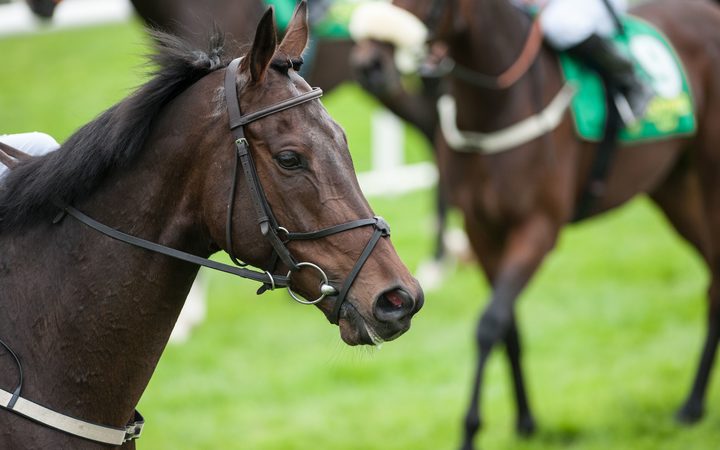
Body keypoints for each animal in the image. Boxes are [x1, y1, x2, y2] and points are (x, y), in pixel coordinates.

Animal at [358, 0, 720, 448]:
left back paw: (691, 404)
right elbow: (508, 328)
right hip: (675, 187)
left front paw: (470, 428)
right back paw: (693, 404)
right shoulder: (481, 230)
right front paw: (525, 421)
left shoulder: (538, 228)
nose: (369, 65)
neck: (496, 105)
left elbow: (489, 323)